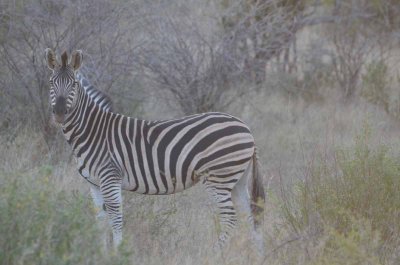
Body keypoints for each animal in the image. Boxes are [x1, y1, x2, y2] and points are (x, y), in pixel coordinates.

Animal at [44, 49, 266, 252]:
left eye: (74, 84)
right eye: (51, 82)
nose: (60, 113)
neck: (93, 132)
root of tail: (246, 128)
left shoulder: (110, 177)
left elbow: (116, 218)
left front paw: (118, 252)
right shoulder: (94, 184)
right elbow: (99, 220)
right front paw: (102, 253)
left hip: (218, 177)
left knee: (230, 217)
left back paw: (215, 253)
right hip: (237, 179)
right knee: (250, 214)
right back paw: (257, 254)